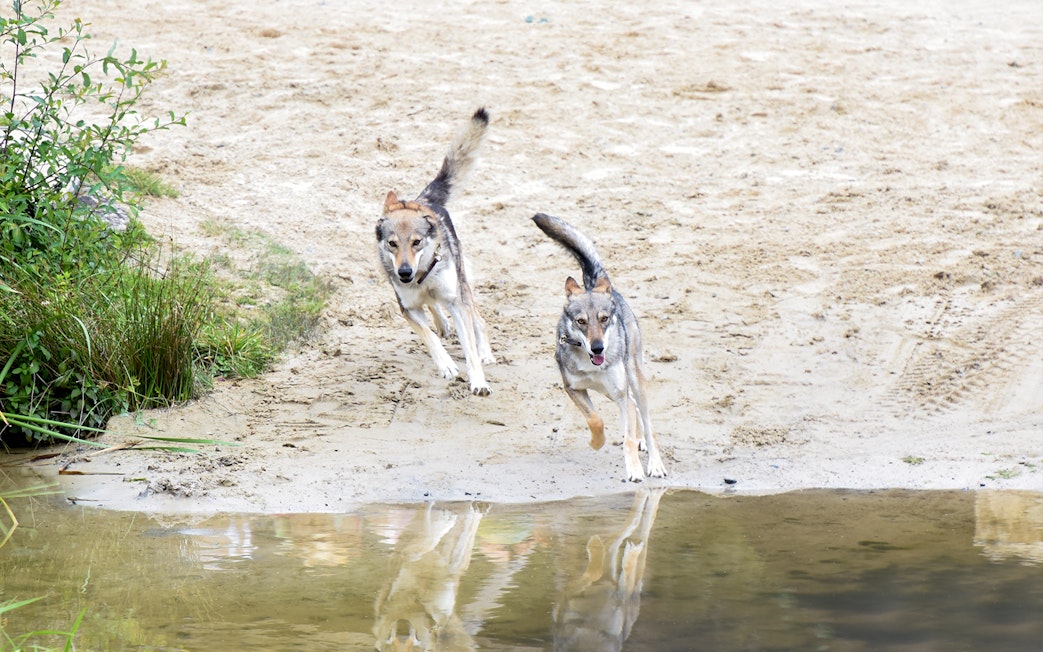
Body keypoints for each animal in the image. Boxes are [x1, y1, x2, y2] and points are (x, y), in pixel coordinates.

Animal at [376, 108, 494, 396]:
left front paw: (479, 382)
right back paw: (442, 324)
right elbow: (428, 336)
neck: (422, 275)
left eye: (417, 242)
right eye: (392, 244)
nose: (404, 272)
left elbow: (469, 350)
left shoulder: (456, 303)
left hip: (463, 289)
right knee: (433, 307)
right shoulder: (408, 309)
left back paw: (486, 352)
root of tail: (425, 200)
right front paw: (447, 366)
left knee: (479, 322)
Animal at [532, 213, 666, 481]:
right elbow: (595, 420)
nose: (598, 349)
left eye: (604, 319)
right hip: (612, 392)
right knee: (634, 410)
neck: (590, 365)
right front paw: (597, 442)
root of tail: (595, 283)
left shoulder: (619, 394)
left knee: (647, 422)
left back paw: (654, 463)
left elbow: (627, 437)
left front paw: (634, 470)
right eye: (581, 321)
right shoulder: (574, 389)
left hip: (634, 380)